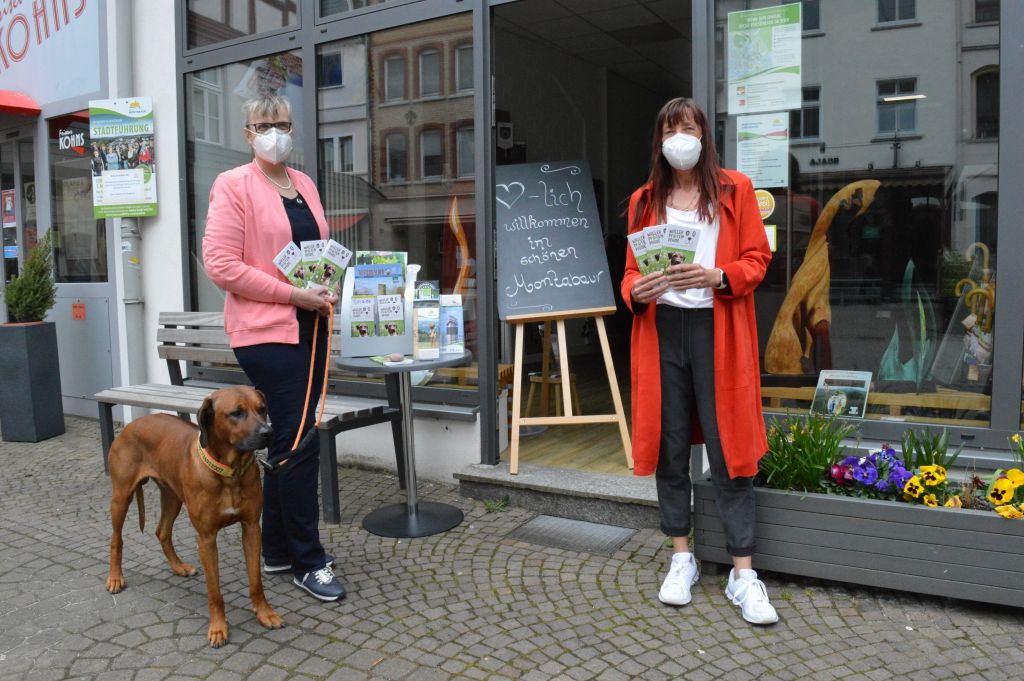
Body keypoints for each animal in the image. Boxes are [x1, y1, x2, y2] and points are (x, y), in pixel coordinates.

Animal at [105, 385, 284, 647]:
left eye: (262, 409)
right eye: (236, 413)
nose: (268, 432)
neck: (230, 472)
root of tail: (130, 425)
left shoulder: (251, 527)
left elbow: (256, 581)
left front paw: (264, 613)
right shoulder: (206, 537)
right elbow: (214, 591)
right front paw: (218, 628)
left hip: (172, 497)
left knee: (162, 532)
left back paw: (178, 567)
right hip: (121, 496)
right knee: (116, 539)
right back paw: (115, 578)